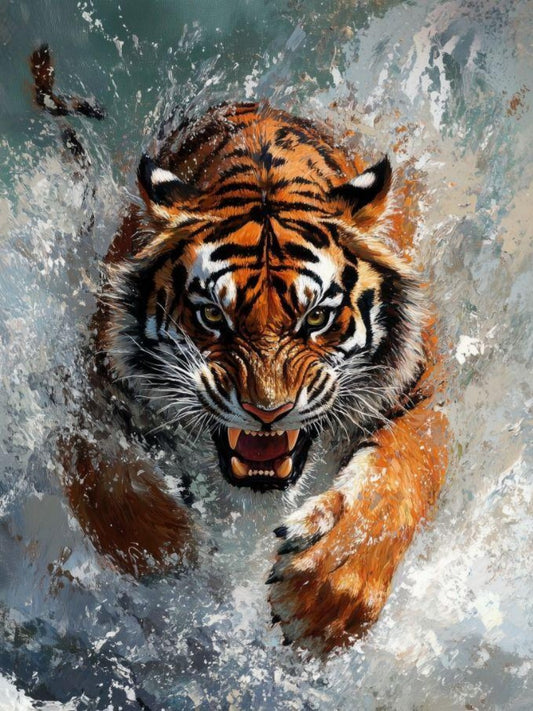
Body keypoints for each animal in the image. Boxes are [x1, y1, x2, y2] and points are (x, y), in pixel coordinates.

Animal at [31, 45, 448, 653]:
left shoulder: (424, 391)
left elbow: (401, 476)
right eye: (212, 317)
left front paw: (325, 596)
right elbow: (97, 468)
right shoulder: (90, 378)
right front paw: (170, 548)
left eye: (316, 318)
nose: (266, 413)